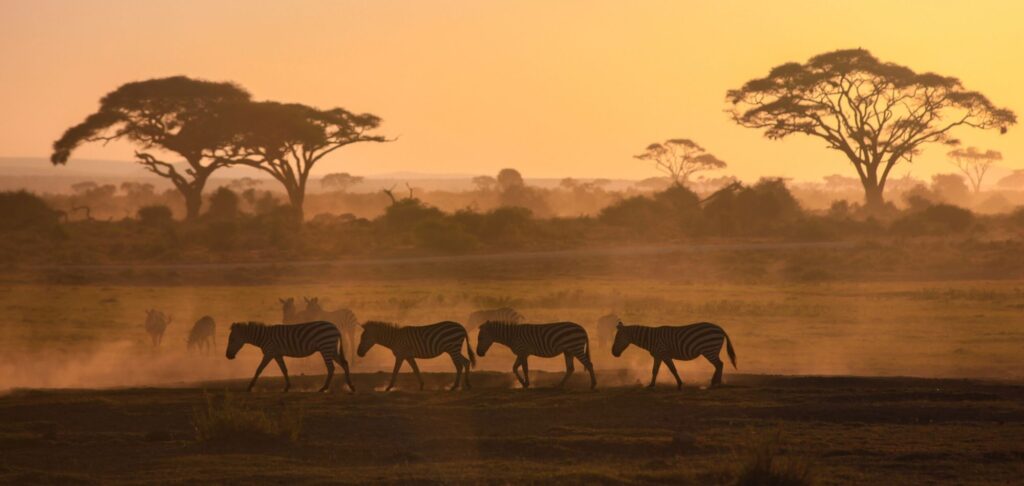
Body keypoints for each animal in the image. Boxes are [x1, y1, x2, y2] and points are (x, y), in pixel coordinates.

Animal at [223, 321, 352, 392]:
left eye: (232, 339)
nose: (228, 356)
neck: (263, 337)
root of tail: (335, 327)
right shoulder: (277, 354)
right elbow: (284, 370)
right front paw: (287, 387)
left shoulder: (269, 352)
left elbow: (259, 369)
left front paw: (249, 387)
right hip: (331, 349)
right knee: (344, 363)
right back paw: (351, 386)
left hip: (326, 347)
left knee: (331, 368)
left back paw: (324, 388)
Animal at [610, 321, 741, 390]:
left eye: (617, 338)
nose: (613, 353)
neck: (651, 339)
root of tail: (719, 328)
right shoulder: (659, 356)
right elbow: (655, 370)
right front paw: (651, 385)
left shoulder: (663, 353)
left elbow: (672, 369)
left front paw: (679, 384)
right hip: (711, 350)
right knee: (719, 365)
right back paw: (714, 382)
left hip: (709, 350)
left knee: (719, 364)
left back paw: (716, 383)